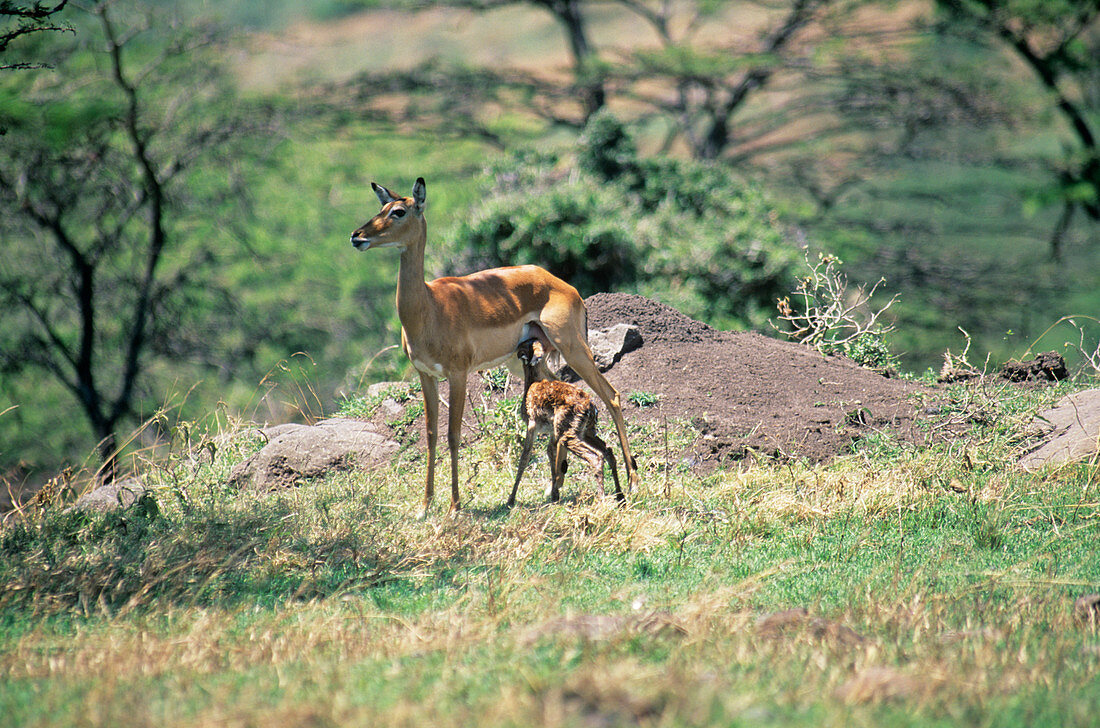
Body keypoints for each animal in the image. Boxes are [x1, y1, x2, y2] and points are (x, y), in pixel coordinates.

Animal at [508, 338, 624, 505]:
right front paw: (554, 496)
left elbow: (525, 457)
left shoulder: (532, 425)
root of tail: (590, 407)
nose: (516, 351)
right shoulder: (552, 430)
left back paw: (602, 500)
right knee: (608, 450)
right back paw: (620, 496)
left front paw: (511, 500)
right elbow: (551, 453)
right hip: (585, 431)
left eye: (523, 347)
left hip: (568, 434)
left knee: (595, 457)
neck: (532, 382)